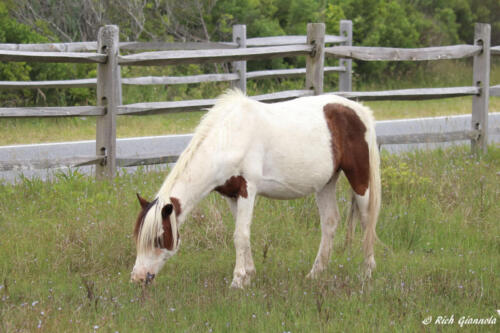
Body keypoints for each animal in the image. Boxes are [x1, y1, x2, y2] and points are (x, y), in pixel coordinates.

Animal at [131, 89, 380, 288]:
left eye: (158, 239)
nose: (138, 278)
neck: (230, 137)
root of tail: (359, 110)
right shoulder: (232, 195)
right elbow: (242, 235)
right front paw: (249, 275)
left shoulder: (247, 190)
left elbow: (240, 235)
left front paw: (237, 281)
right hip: (325, 183)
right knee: (330, 222)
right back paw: (315, 274)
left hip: (359, 179)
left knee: (367, 221)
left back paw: (366, 274)